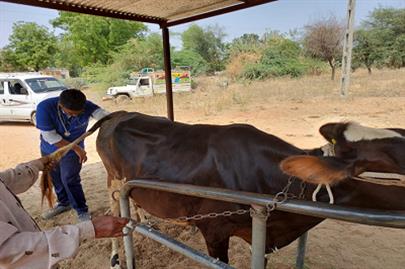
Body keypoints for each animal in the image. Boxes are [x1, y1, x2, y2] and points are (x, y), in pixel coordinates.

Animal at [42, 113, 404, 266]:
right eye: (391, 158)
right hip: (114, 181)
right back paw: (118, 255)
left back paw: (147, 223)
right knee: (115, 211)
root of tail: (116, 114)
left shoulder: (262, 230)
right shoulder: (214, 230)